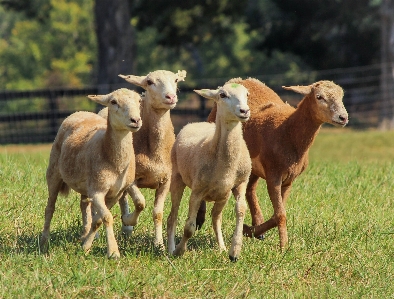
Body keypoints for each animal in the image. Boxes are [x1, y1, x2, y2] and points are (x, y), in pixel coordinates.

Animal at [38, 88, 142, 258]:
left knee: (83, 205)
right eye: (113, 102)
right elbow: (107, 217)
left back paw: (84, 234)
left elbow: (98, 219)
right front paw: (113, 251)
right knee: (50, 208)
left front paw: (86, 246)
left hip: (85, 185)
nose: (135, 120)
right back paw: (44, 242)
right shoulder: (97, 191)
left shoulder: (115, 193)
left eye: (139, 101)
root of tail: (79, 112)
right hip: (53, 173)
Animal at [96, 70, 187, 248]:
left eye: (175, 80)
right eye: (149, 82)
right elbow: (140, 202)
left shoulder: (166, 180)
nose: (171, 97)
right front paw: (129, 220)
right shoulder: (132, 179)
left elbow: (158, 213)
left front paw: (159, 244)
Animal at [168, 82, 251, 262]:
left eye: (247, 94)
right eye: (222, 95)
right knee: (173, 216)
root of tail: (196, 122)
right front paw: (180, 251)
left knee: (216, 218)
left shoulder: (241, 183)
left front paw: (235, 251)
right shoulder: (197, 191)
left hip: (223, 195)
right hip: (177, 177)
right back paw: (170, 249)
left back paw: (221, 247)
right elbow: (189, 227)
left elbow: (241, 210)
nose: (244, 111)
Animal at [199, 78, 350, 250]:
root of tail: (240, 79)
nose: (343, 117)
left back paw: (256, 223)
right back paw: (200, 218)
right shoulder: (273, 175)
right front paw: (284, 247)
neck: (288, 131)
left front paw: (249, 230)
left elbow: (277, 214)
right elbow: (280, 214)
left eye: (341, 95)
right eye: (319, 97)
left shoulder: (289, 179)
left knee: (250, 189)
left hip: (253, 167)